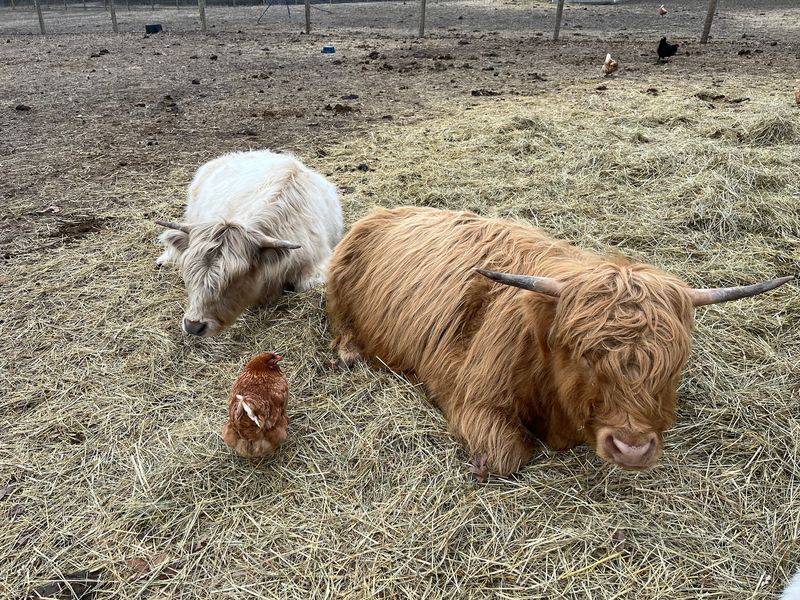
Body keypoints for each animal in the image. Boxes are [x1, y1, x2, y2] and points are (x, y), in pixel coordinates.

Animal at [326, 206, 791, 475]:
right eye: (586, 356)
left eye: (674, 364)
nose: (631, 448)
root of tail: (384, 211)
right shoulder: (475, 398)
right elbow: (508, 456)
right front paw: (481, 464)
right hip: (337, 282)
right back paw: (349, 353)